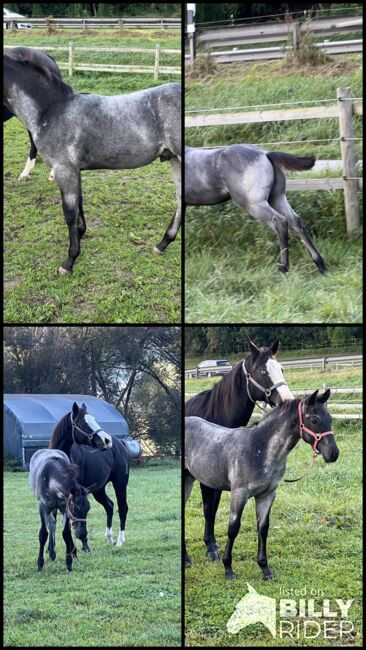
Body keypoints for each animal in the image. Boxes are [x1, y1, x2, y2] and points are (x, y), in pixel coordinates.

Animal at [184, 340, 294, 560]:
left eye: (281, 369)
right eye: (263, 371)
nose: (286, 399)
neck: (214, 414)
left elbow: (213, 509)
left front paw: (212, 543)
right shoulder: (206, 478)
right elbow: (208, 509)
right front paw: (210, 548)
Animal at [186, 143, 326, 272]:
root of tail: (265, 154)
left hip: (253, 204)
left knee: (280, 221)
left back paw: (283, 267)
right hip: (277, 198)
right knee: (295, 222)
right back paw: (320, 265)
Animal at [186, 388, 340, 580]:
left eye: (330, 419)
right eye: (314, 420)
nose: (333, 454)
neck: (259, 448)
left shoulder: (267, 494)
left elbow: (263, 528)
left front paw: (265, 568)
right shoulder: (239, 494)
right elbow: (233, 528)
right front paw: (228, 568)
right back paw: (187, 559)